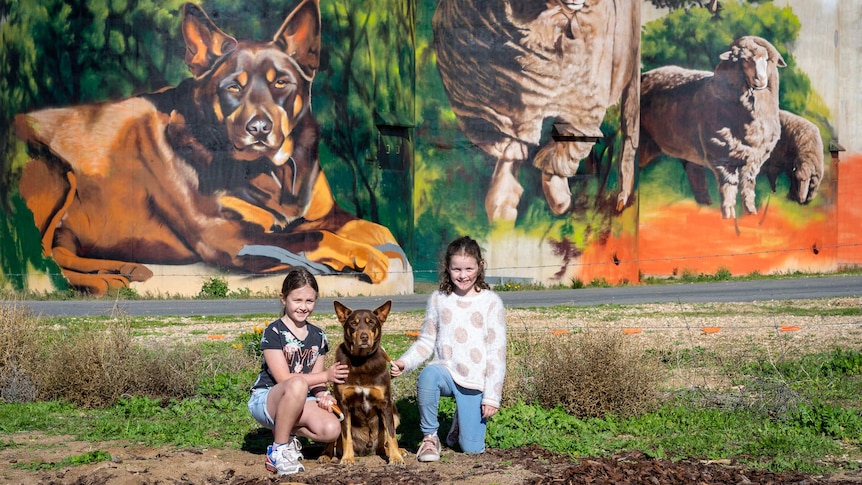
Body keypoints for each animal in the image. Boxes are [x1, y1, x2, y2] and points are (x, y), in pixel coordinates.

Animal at [13, 0, 404, 294]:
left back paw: (122, 268)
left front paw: (376, 239)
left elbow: (366, 226)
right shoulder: (228, 237)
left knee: (61, 252)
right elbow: (316, 236)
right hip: (56, 175)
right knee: (48, 257)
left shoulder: (319, 212)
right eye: (233, 87)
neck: (272, 172)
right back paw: (106, 280)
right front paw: (365, 255)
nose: (259, 128)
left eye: (281, 82)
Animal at [322, 300, 406, 464]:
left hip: (395, 414)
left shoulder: (385, 403)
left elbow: (392, 435)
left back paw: (398, 451)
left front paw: (396, 458)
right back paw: (325, 455)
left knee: (384, 443)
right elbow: (346, 435)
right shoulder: (343, 404)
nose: (364, 337)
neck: (361, 361)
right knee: (332, 441)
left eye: (371, 322)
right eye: (354, 323)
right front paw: (347, 458)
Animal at [640, 36, 788, 218]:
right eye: (744, 60)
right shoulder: (723, 159)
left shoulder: (753, 160)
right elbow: (729, 189)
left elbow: (748, 188)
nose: (760, 79)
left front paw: (750, 214)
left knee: (695, 177)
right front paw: (729, 217)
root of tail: (645, 75)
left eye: (767, 59)